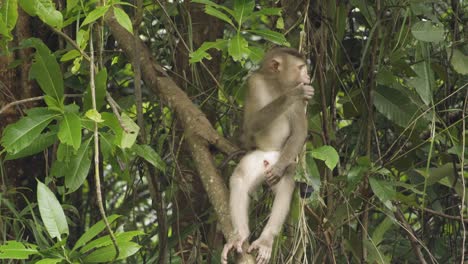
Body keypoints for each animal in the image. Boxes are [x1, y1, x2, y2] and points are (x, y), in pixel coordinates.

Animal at [220, 48, 314, 264]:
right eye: (301, 68)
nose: (307, 77)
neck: (276, 84)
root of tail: (268, 159)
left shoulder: (300, 104)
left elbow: (299, 134)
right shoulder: (254, 83)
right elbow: (251, 123)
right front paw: (291, 94)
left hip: (283, 158)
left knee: (287, 181)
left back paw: (265, 241)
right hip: (256, 161)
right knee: (240, 177)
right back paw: (240, 236)